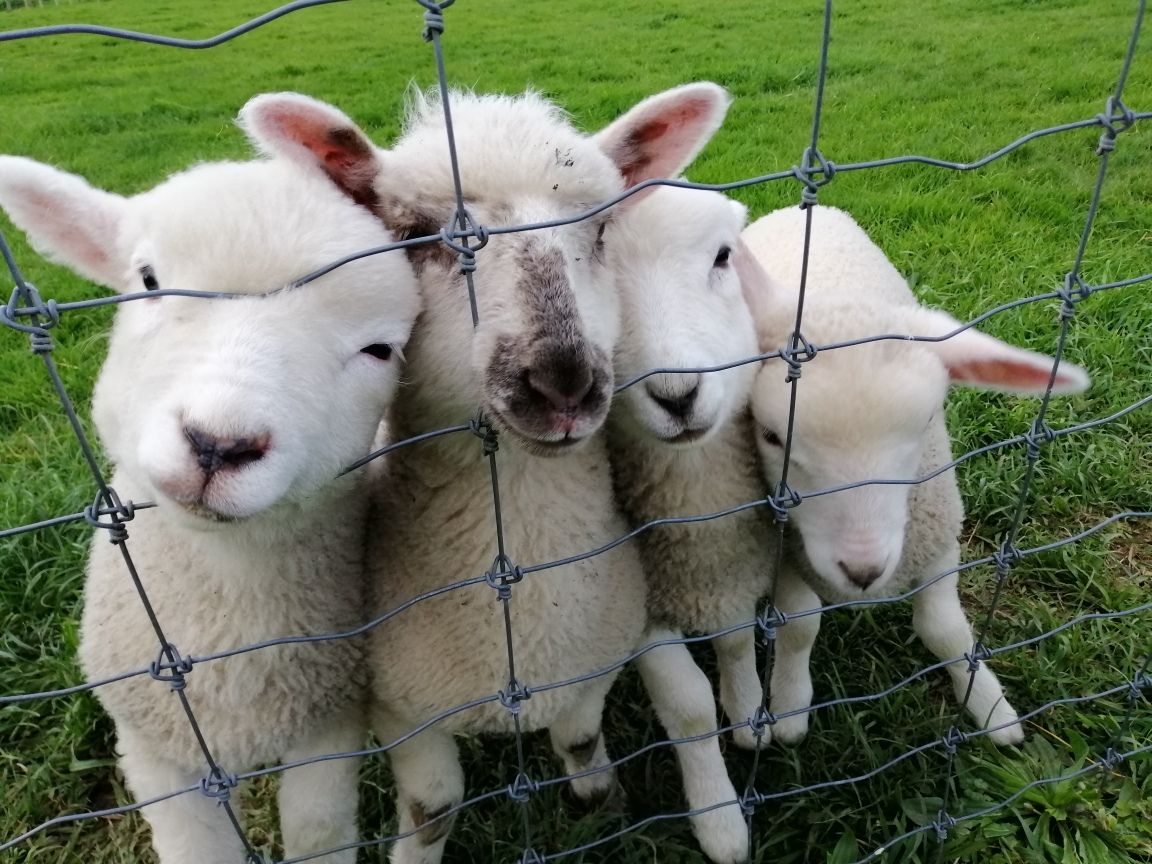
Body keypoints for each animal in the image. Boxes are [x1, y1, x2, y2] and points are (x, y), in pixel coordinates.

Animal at [0, 140, 423, 861]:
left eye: (379, 350)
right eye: (147, 279)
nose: (219, 444)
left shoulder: (330, 716)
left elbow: (318, 829)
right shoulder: (152, 742)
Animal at [243, 82, 746, 864]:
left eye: (601, 229)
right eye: (417, 234)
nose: (564, 380)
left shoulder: (593, 650)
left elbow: (580, 730)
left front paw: (594, 789)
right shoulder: (399, 702)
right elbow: (434, 805)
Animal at [608, 186, 778, 847]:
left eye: (722, 256)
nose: (677, 396)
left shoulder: (729, 566)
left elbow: (734, 643)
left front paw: (750, 712)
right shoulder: (639, 609)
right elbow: (688, 706)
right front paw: (719, 817)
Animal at [737, 206, 1087, 746]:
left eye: (925, 424)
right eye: (771, 436)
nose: (862, 570)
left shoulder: (939, 537)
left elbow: (946, 631)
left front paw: (991, 709)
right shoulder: (784, 549)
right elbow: (799, 626)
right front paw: (791, 709)